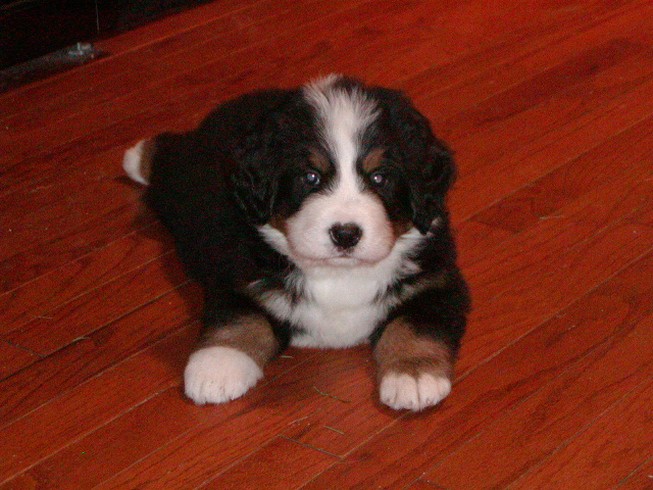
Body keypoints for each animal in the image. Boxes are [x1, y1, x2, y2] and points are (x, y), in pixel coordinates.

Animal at [123, 74, 468, 412]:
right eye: (310, 177)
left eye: (380, 177)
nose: (345, 233)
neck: (340, 275)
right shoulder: (240, 273)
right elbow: (239, 317)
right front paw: (217, 365)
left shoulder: (436, 280)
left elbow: (416, 323)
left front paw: (415, 375)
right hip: (181, 188)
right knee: (168, 156)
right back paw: (138, 155)